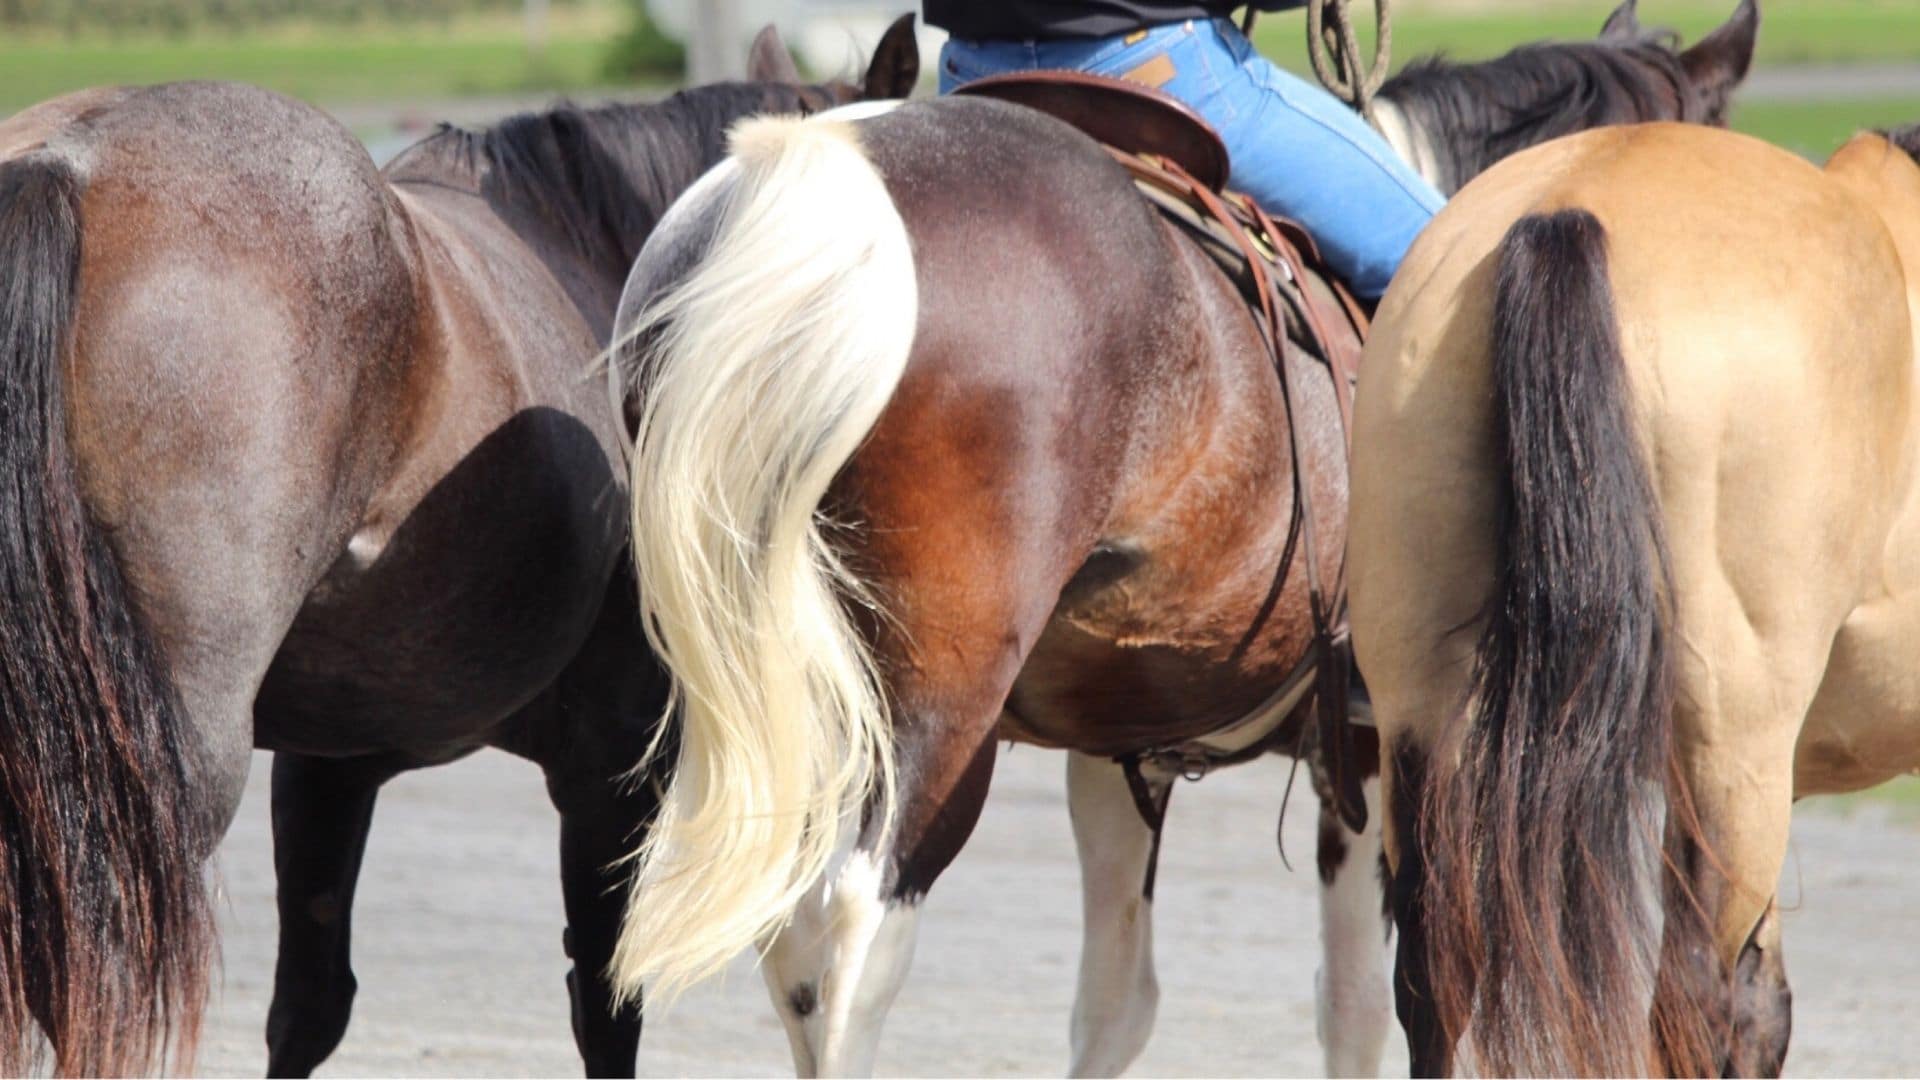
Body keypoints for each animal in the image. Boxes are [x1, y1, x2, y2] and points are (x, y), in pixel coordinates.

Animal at [599, 3, 1757, 1075]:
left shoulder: (1122, 746)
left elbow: (1120, 1002)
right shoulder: (1379, 741)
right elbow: (1369, 1001)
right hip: (939, 700)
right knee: (843, 941)